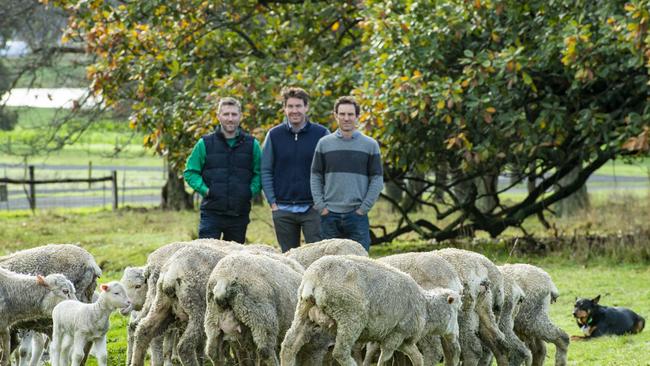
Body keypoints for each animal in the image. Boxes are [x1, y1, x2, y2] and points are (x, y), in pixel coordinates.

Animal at [280, 254, 460, 366]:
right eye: (457, 310)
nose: (456, 333)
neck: (426, 309)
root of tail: (314, 277)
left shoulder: (402, 339)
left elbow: (417, 357)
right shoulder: (396, 334)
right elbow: (385, 358)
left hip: (304, 311)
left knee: (289, 345)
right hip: (350, 316)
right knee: (340, 352)